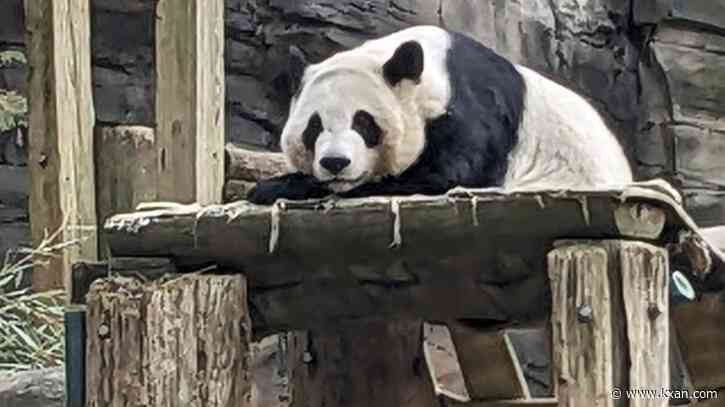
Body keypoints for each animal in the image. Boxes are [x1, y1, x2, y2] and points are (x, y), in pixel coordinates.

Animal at [247, 26, 632, 205]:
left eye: (364, 122)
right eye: (314, 127)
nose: (335, 163)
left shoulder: (472, 110)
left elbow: (443, 175)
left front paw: (278, 185)